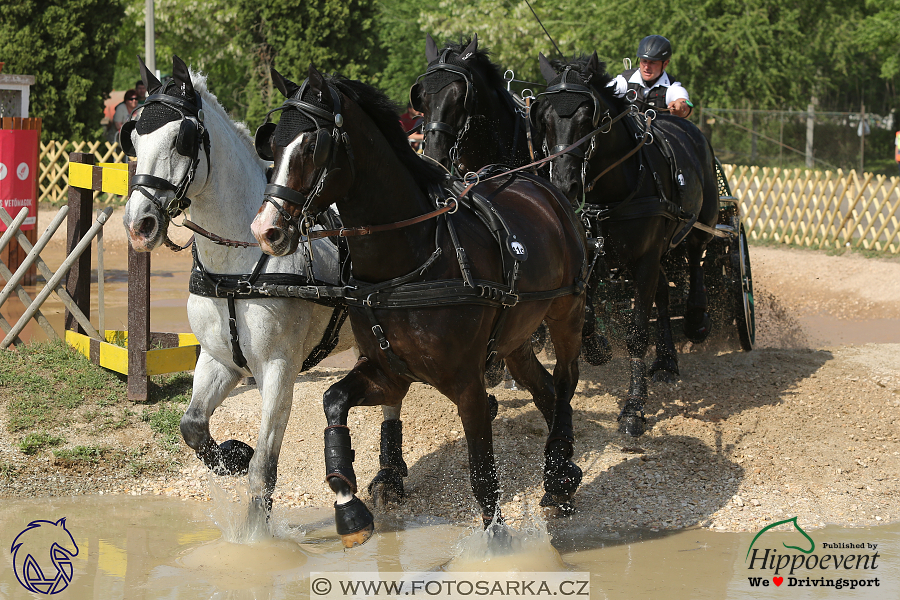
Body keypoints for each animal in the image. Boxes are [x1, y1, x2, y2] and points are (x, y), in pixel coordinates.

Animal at [251, 65, 592, 548]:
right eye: (273, 143)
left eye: (313, 145)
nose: (266, 230)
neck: (408, 264)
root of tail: (541, 187)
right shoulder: (390, 374)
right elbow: (333, 401)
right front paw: (349, 506)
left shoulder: (468, 385)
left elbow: (483, 475)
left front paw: (498, 543)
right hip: (515, 338)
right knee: (545, 389)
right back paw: (562, 473)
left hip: (566, 314)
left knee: (565, 382)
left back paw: (560, 473)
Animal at [536, 51, 716, 436]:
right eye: (543, 117)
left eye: (588, 118)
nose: (564, 185)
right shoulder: (591, 253)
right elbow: (587, 316)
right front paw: (597, 348)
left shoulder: (645, 260)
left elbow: (636, 333)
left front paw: (634, 407)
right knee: (663, 293)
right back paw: (666, 362)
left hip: (702, 221)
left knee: (695, 257)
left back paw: (696, 318)